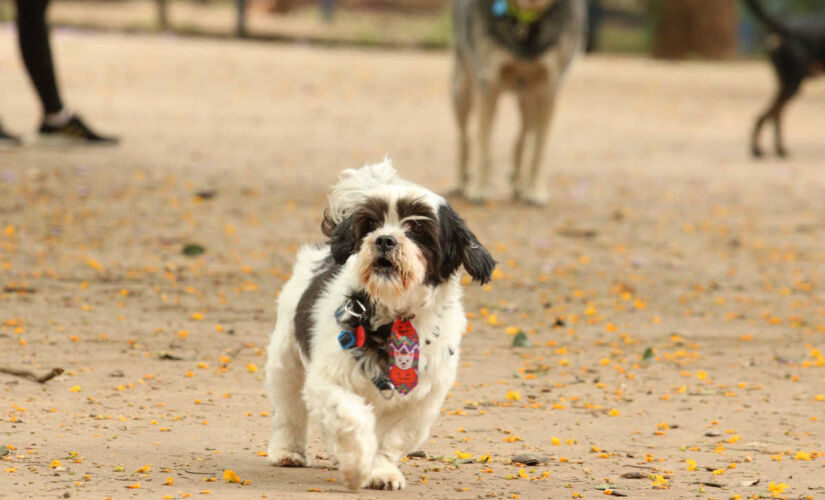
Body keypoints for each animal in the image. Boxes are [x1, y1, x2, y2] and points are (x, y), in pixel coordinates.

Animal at [268, 159, 492, 488]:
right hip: (286, 359)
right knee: (289, 408)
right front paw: (357, 465)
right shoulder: (329, 379)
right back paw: (288, 451)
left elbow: (393, 438)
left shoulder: (421, 400)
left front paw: (380, 470)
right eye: (372, 224)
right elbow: (352, 416)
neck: (395, 317)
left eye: (418, 228)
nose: (385, 239)